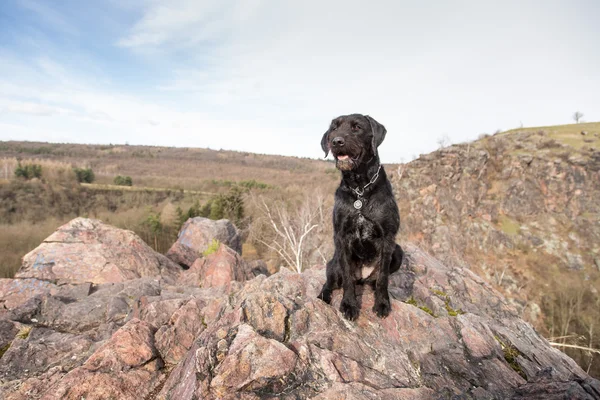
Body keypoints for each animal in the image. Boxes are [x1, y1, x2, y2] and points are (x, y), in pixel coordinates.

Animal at [316, 114, 406, 320]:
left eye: (357, 127)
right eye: (334, 128)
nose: (336, 141)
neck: (360, 190)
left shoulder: (388, 238)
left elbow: (383, 278)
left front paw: (382, 303)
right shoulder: (341, 237)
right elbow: (347, 278)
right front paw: (349, 305)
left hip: (398, 253)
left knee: (375, 280)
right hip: (333, 263)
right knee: (330, 282)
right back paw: (323, 296)